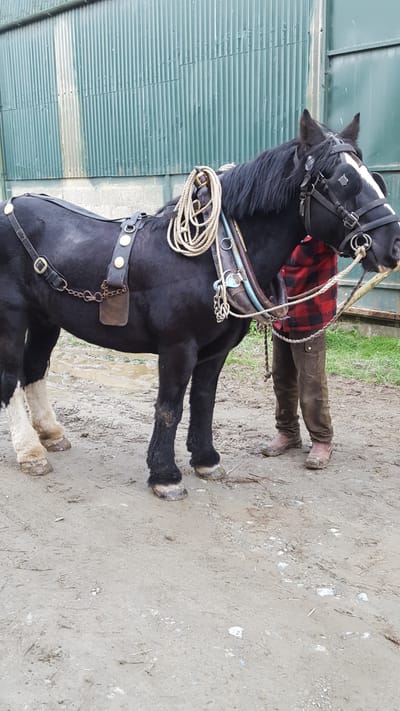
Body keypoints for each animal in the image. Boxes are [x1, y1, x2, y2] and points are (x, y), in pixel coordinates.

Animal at [0, 110, 399, 500]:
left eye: (375, 179)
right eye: (341, 180)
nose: (393, 244)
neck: (212, 259)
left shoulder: (216, 350)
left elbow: (204, 400)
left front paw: (206, 460)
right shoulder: (178, 347)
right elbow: (170, 406)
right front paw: (165, 475)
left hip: (46, 319)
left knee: (33, 370)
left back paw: (51, 434)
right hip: (13, 316)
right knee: (11, 377)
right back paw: (29, 451)